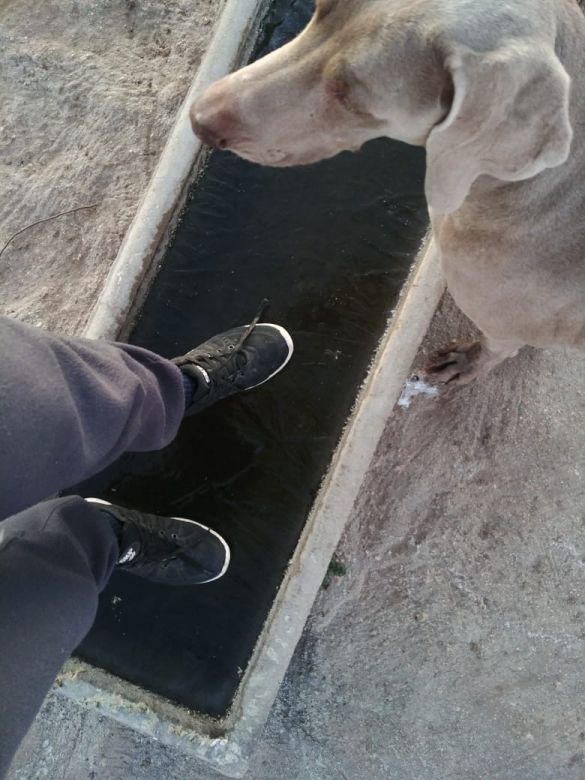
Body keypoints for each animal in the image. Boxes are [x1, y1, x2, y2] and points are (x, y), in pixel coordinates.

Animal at [189, 0, 580, 384]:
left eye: (347, 95)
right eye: (317, 10)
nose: (198, 120)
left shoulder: (505, 321)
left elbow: (497, 347)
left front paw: (466, 364)